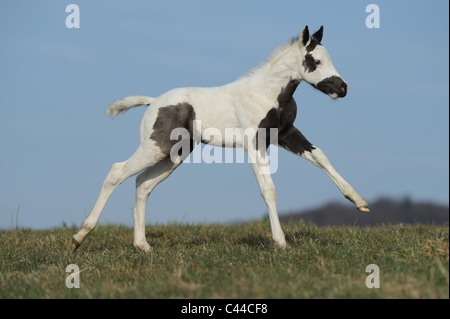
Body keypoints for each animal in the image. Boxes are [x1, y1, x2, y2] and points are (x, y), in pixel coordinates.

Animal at [74, 25, 370, 252]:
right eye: (316, 61)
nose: (342, 88)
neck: (267, 93)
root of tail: (152, 101)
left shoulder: (286, 133)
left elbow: (321, 157)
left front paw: (359, 201)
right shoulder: (254, 143)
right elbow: (268, 189)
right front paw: (280, 241)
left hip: (174, 154)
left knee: (142, 184)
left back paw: (142, 246)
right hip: (156, 147)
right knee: (117, 172)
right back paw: (80, 236)